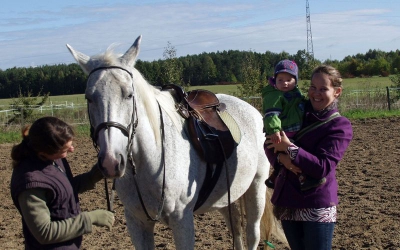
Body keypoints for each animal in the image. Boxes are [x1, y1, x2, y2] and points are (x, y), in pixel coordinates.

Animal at [67, 35, 280, 250]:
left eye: (129, 94)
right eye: (89, 97)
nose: (111, 162)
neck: (149, 160)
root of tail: (253, 111)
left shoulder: (182, 220)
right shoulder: (136, 222)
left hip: (256, 187)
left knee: (252, 234)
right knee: (236, 232)